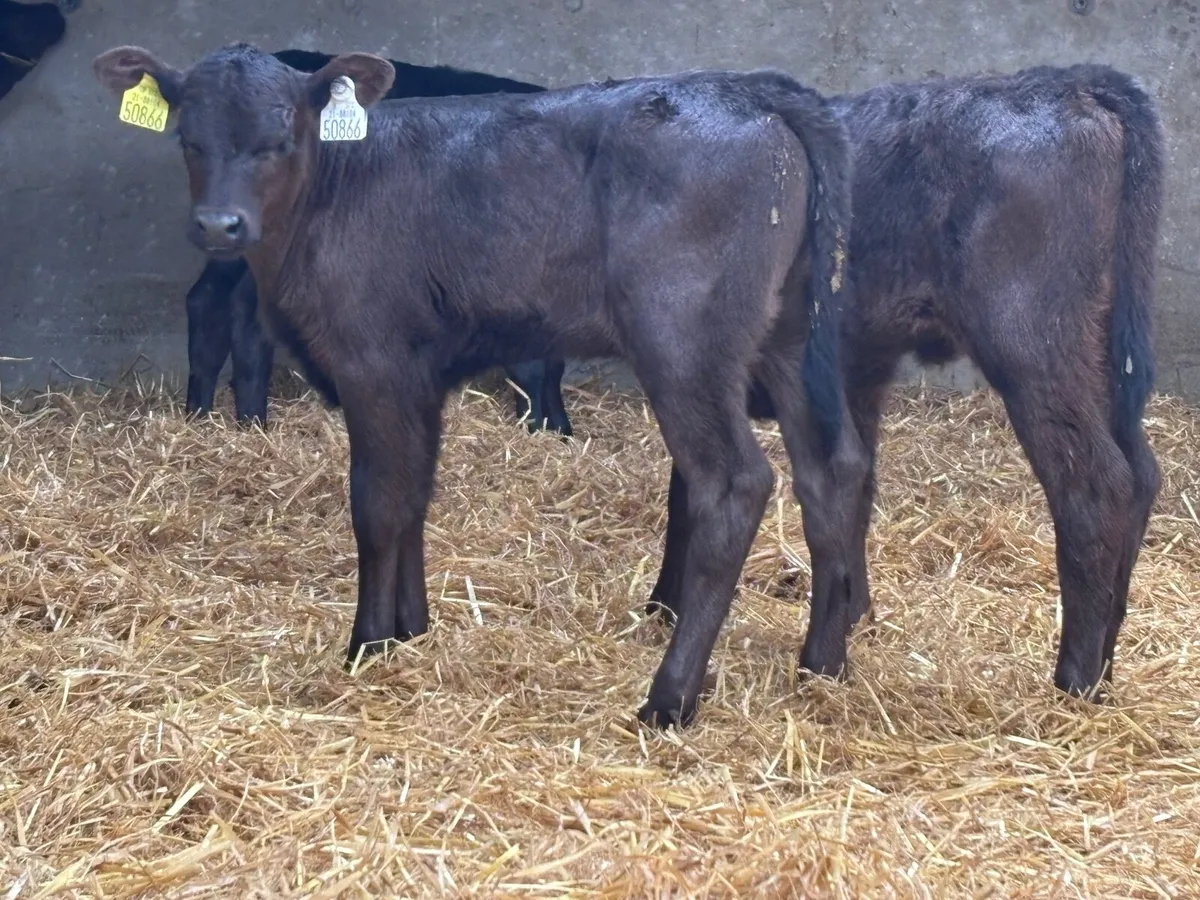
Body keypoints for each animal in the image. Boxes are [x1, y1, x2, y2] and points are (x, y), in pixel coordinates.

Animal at [184, 48, 572, 436]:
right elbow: (533, 362)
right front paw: (539, 424)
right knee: (245, 312)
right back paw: (253, 423)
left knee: (206, 299)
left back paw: (199, 415)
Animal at [647, 63, 1164, 703]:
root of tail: (1074, 84)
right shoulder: (853, 377)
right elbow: (853, 488)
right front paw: (852, 618)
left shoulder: (699, 365)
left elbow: (692, 490)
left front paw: (665, 605)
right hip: (1104, 352)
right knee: (1140, 474)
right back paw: (1108, 665)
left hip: (1034, 345)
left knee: (1094, 486)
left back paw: (1076, 679)